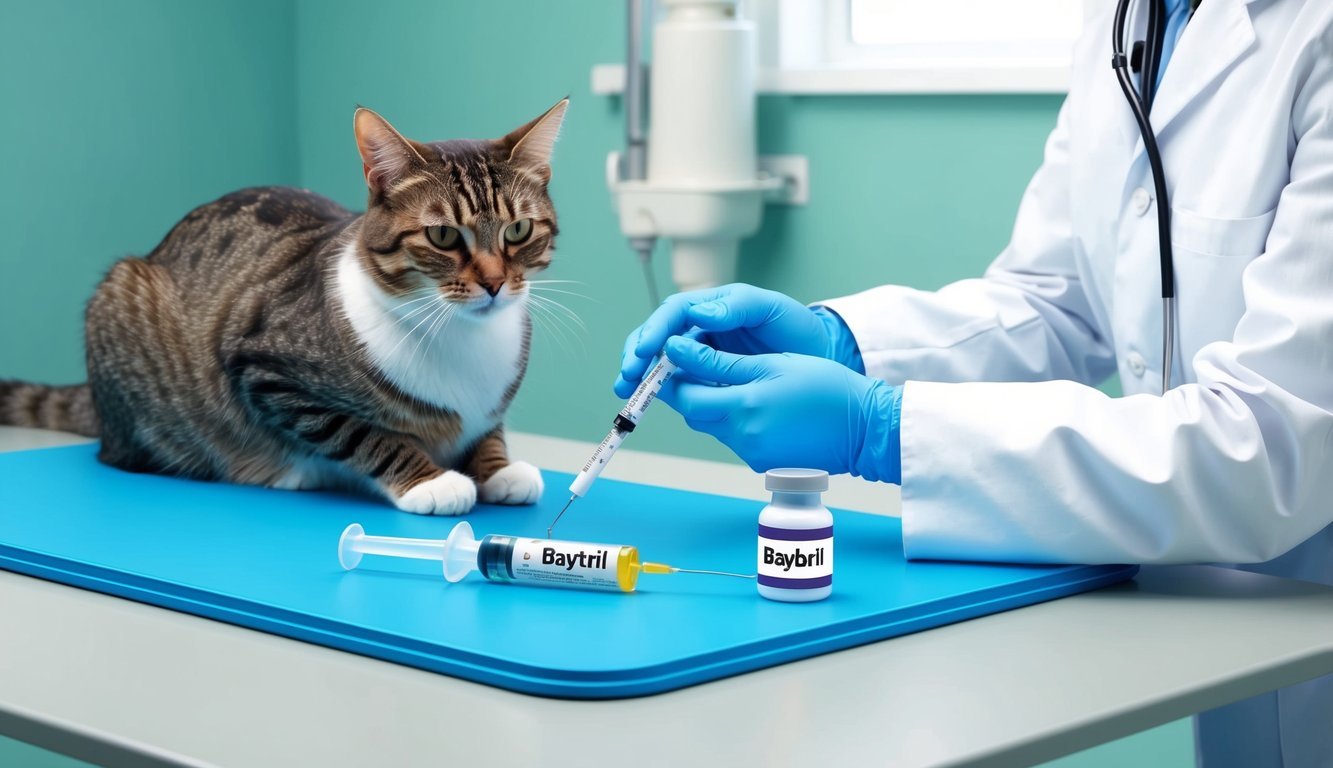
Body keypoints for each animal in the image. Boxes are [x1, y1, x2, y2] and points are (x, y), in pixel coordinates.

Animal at [0, 97, 567, 517]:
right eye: (444, 236)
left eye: (518, 230)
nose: (494, 284)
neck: (463, 336)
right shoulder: (268, 372)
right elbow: (363, 435)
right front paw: (429, 481)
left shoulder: (490, 404)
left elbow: (487, 429)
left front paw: (498, 469)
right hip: (122, 303)